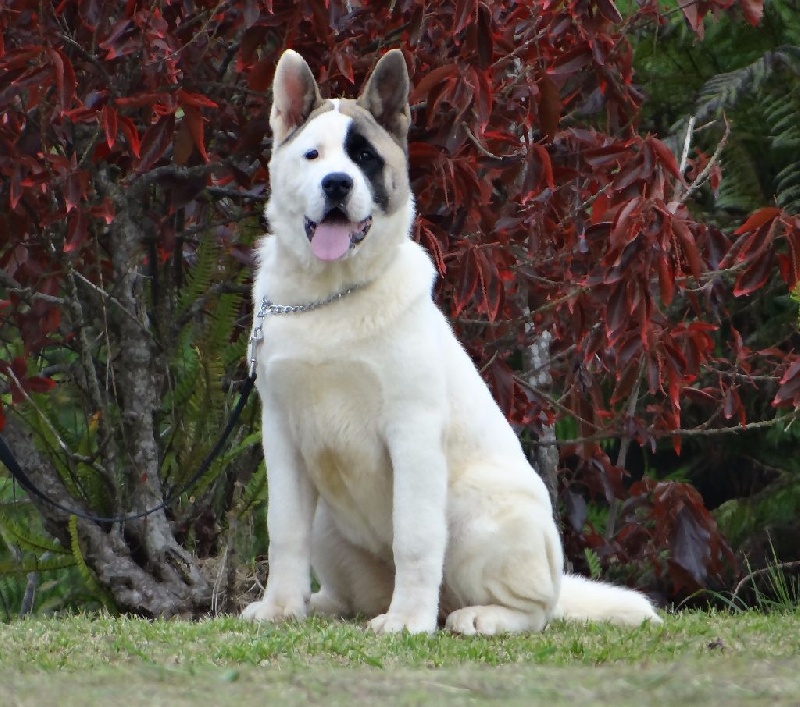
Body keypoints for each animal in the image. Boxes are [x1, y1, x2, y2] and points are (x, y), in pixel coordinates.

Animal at [241, 51, 660, 636]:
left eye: (364, 158)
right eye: (312, 155)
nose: (337, 184)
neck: (330, 297)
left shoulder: (413, 432)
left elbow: (415, 538)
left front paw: (406, 623)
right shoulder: (281, 434)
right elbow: (284, 529)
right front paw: (281, 608)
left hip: (473, 509)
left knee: (535, 610)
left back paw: (475, 616)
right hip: (330, 522)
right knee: (354, 588)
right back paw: (329, 606)